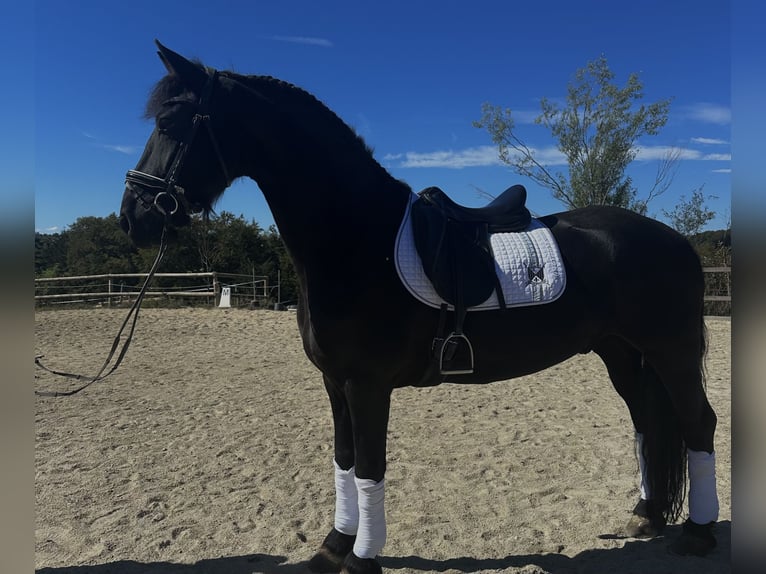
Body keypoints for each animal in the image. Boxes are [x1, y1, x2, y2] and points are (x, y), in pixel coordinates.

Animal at [119, 41, 720, 574]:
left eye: (172, 123)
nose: (133, 218)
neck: (356, 238)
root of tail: (677, 241)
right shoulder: (335, 384)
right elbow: (343, 462)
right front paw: (333, 548)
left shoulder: (367, 386)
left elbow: (369, 467)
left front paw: (362, 561)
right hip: (621, 353)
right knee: (647, 425)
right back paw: (645, 515)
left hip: (671, 351)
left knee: (698, 422)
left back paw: (697, 533)